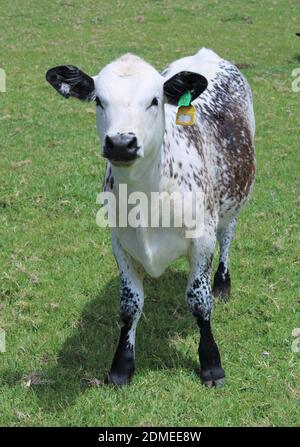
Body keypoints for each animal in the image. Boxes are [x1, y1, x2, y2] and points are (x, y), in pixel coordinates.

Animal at [46, 47, 255, 386]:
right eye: (99, 100)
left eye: (154, 100)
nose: (121, 143)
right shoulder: (120, 243)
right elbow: (129, 305)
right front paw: (121, 365)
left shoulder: (203, 238)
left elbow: (199, 302)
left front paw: (211, 363)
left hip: (232, 201)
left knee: (228, 235)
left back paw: (223, 283)